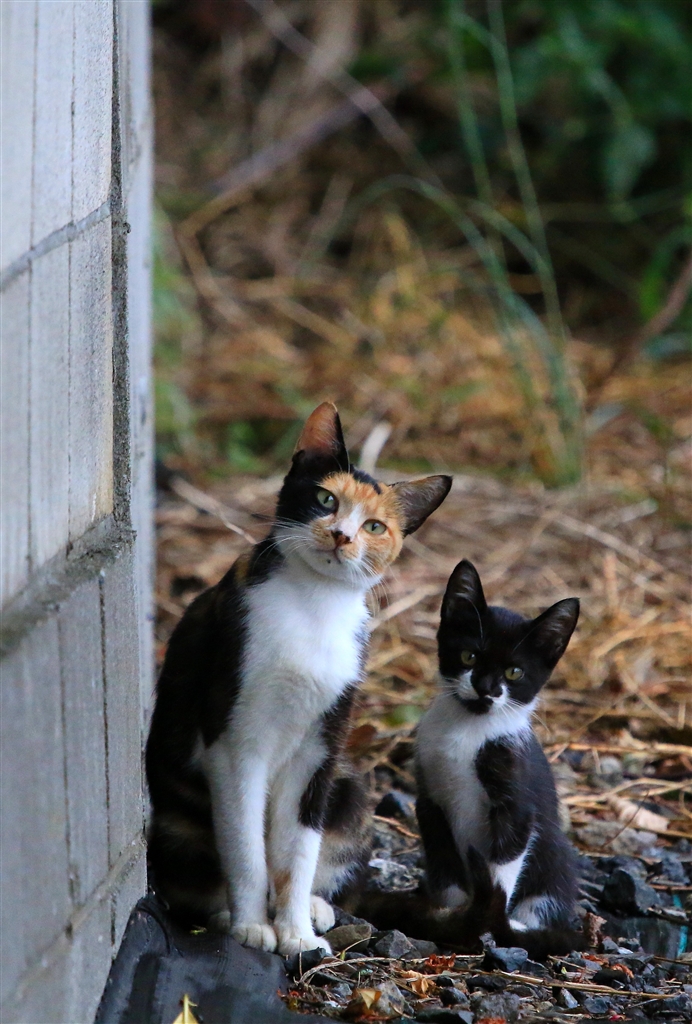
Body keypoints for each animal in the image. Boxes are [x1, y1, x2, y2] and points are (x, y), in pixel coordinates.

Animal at [145, 402, 452, 956]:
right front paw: (252, 927)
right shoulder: (231, 740)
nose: (342, 535)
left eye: (376, 526)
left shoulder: (320, 748)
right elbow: (245, 846)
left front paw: (297, 934)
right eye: (326, 498)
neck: (313, 603)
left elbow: (299, 848)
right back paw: (223, 913)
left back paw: (315, 906)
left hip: (349, 784)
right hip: (177, 820)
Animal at [360, 559, 582, 958]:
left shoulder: (516, 798)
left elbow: (503, 864)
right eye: (470, 656)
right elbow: (444, 859)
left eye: (514, 672)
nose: (485, 688)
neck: (469, 728)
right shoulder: (429, 799)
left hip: (554, 856)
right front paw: (450, 916)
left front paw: (489, 922)